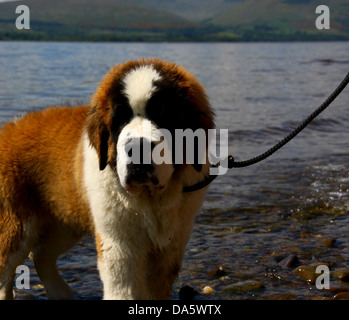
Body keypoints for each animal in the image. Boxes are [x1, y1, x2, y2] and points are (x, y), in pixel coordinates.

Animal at [0, 57, 212, 300]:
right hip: (16, 225)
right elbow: (124, 289)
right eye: (119, 120)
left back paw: (63, 293)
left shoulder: (171, 245)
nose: (138, 148)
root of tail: (8, 128)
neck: (150, 199)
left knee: (41, 254)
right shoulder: (119, 245)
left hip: (66, 219)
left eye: (163, 115)